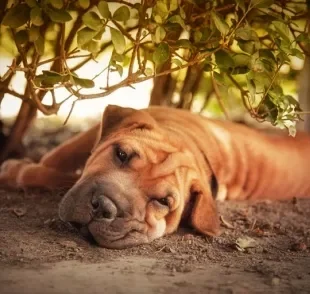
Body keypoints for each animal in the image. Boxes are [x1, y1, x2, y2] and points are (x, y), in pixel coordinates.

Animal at [0, 105, 310, 248]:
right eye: (121, 154)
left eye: (163, 201)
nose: (104, 207)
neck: (190, 143)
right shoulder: (91, 136)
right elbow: (58, 157)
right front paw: (18, 169)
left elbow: (55, 174)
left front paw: (16, 170)